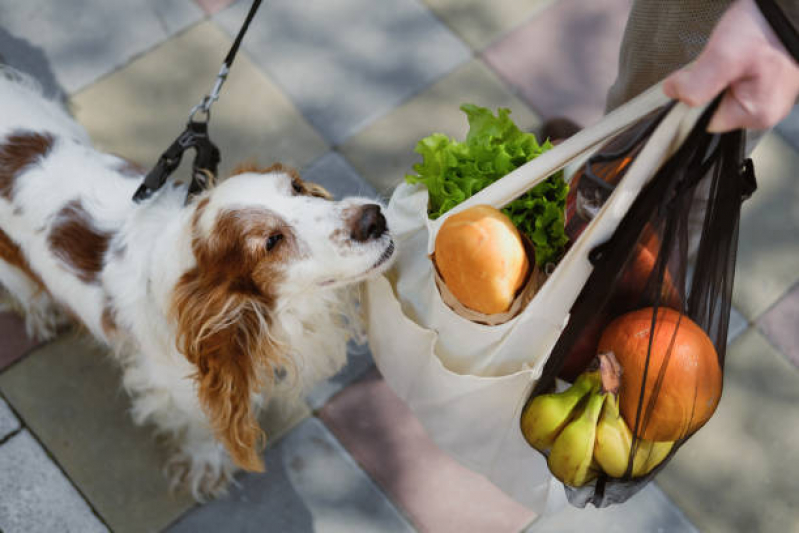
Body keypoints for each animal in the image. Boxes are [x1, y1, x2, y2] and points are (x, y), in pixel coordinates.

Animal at [0, 68, 396, 496]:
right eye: (271, 242)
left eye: (295, 186)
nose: (374, 219)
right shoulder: (175, 385)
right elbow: (203, 426)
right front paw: (207, 465)